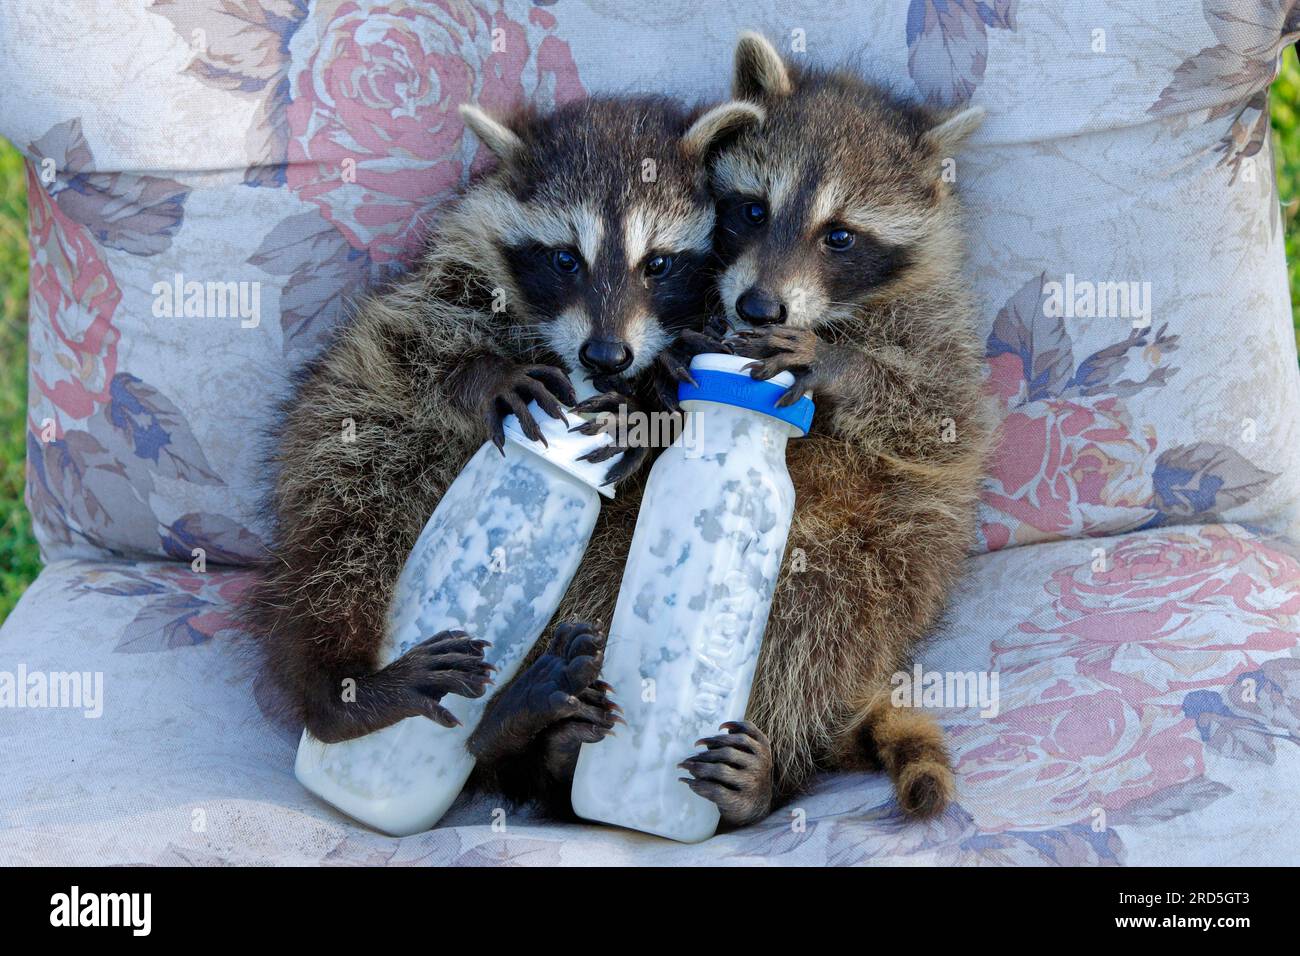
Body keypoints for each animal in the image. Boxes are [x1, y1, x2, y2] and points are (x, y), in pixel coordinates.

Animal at [245, 95, 762, 760]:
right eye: (565, 259)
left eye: (659, 264)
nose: (606, 355)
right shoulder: (447, 273)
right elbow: (417, 337)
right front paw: (487, 375)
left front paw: (649, 402)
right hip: (344, 449)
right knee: (339, 546)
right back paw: (339, 690)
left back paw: (511, 720)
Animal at [672, 33, 993, 823]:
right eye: (753, 211)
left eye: (840, 236)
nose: (757, 308)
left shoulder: (940, 325)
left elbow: (940, 417)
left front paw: (840, 366)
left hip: (877, 567)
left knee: (816, 625)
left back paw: (764, 775)